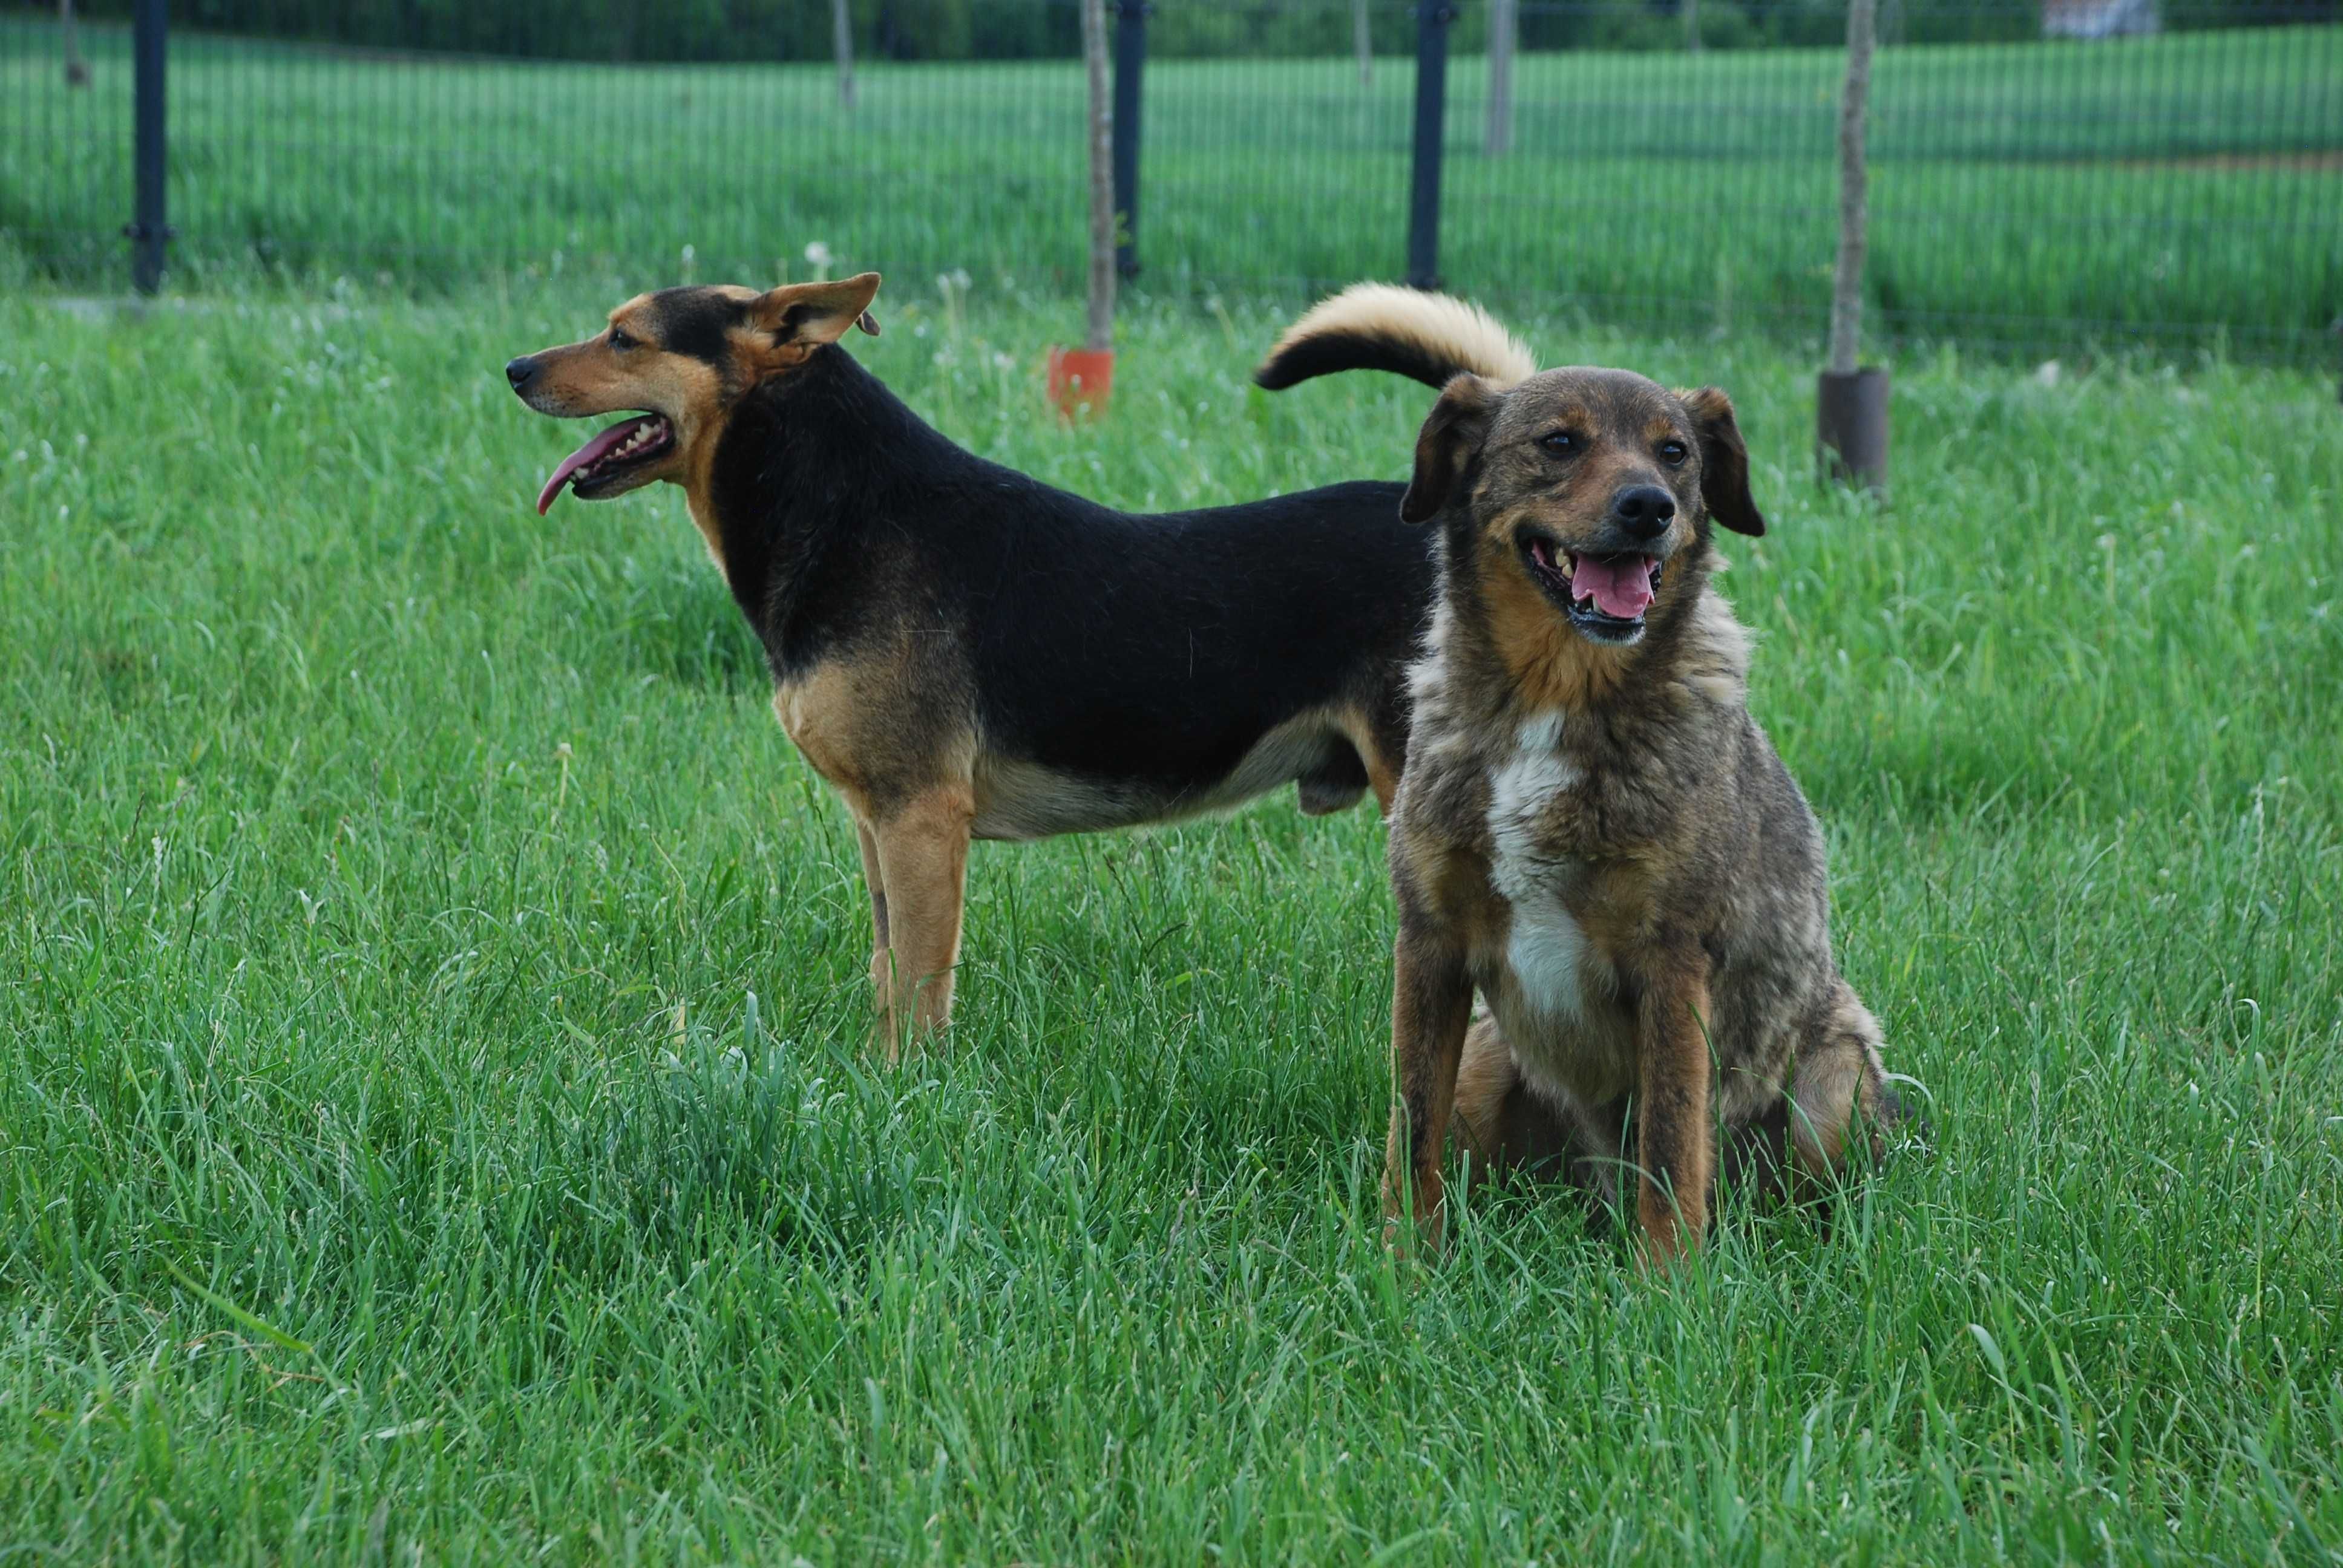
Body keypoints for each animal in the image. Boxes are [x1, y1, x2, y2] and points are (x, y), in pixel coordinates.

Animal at [503, 274, 1434, 1045]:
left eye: (625, 339)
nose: (514, 369)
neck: (848, 512)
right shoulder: (875, 822)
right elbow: (886, 972)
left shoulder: (920, 819)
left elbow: (919, 984)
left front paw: (905, 1096)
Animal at [1256, 281, 1893, 1256]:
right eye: (1559, 442)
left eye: (1676, 453)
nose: (1649, 507)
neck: (1554, 701)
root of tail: (1592, 1187)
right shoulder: (1430, 943)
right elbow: (1411, 1132)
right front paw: (1403, 1262)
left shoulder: (1672, 962)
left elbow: (1671, 1144)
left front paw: (1668, 1280)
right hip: (1488, 1054)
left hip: (1833, 1080)